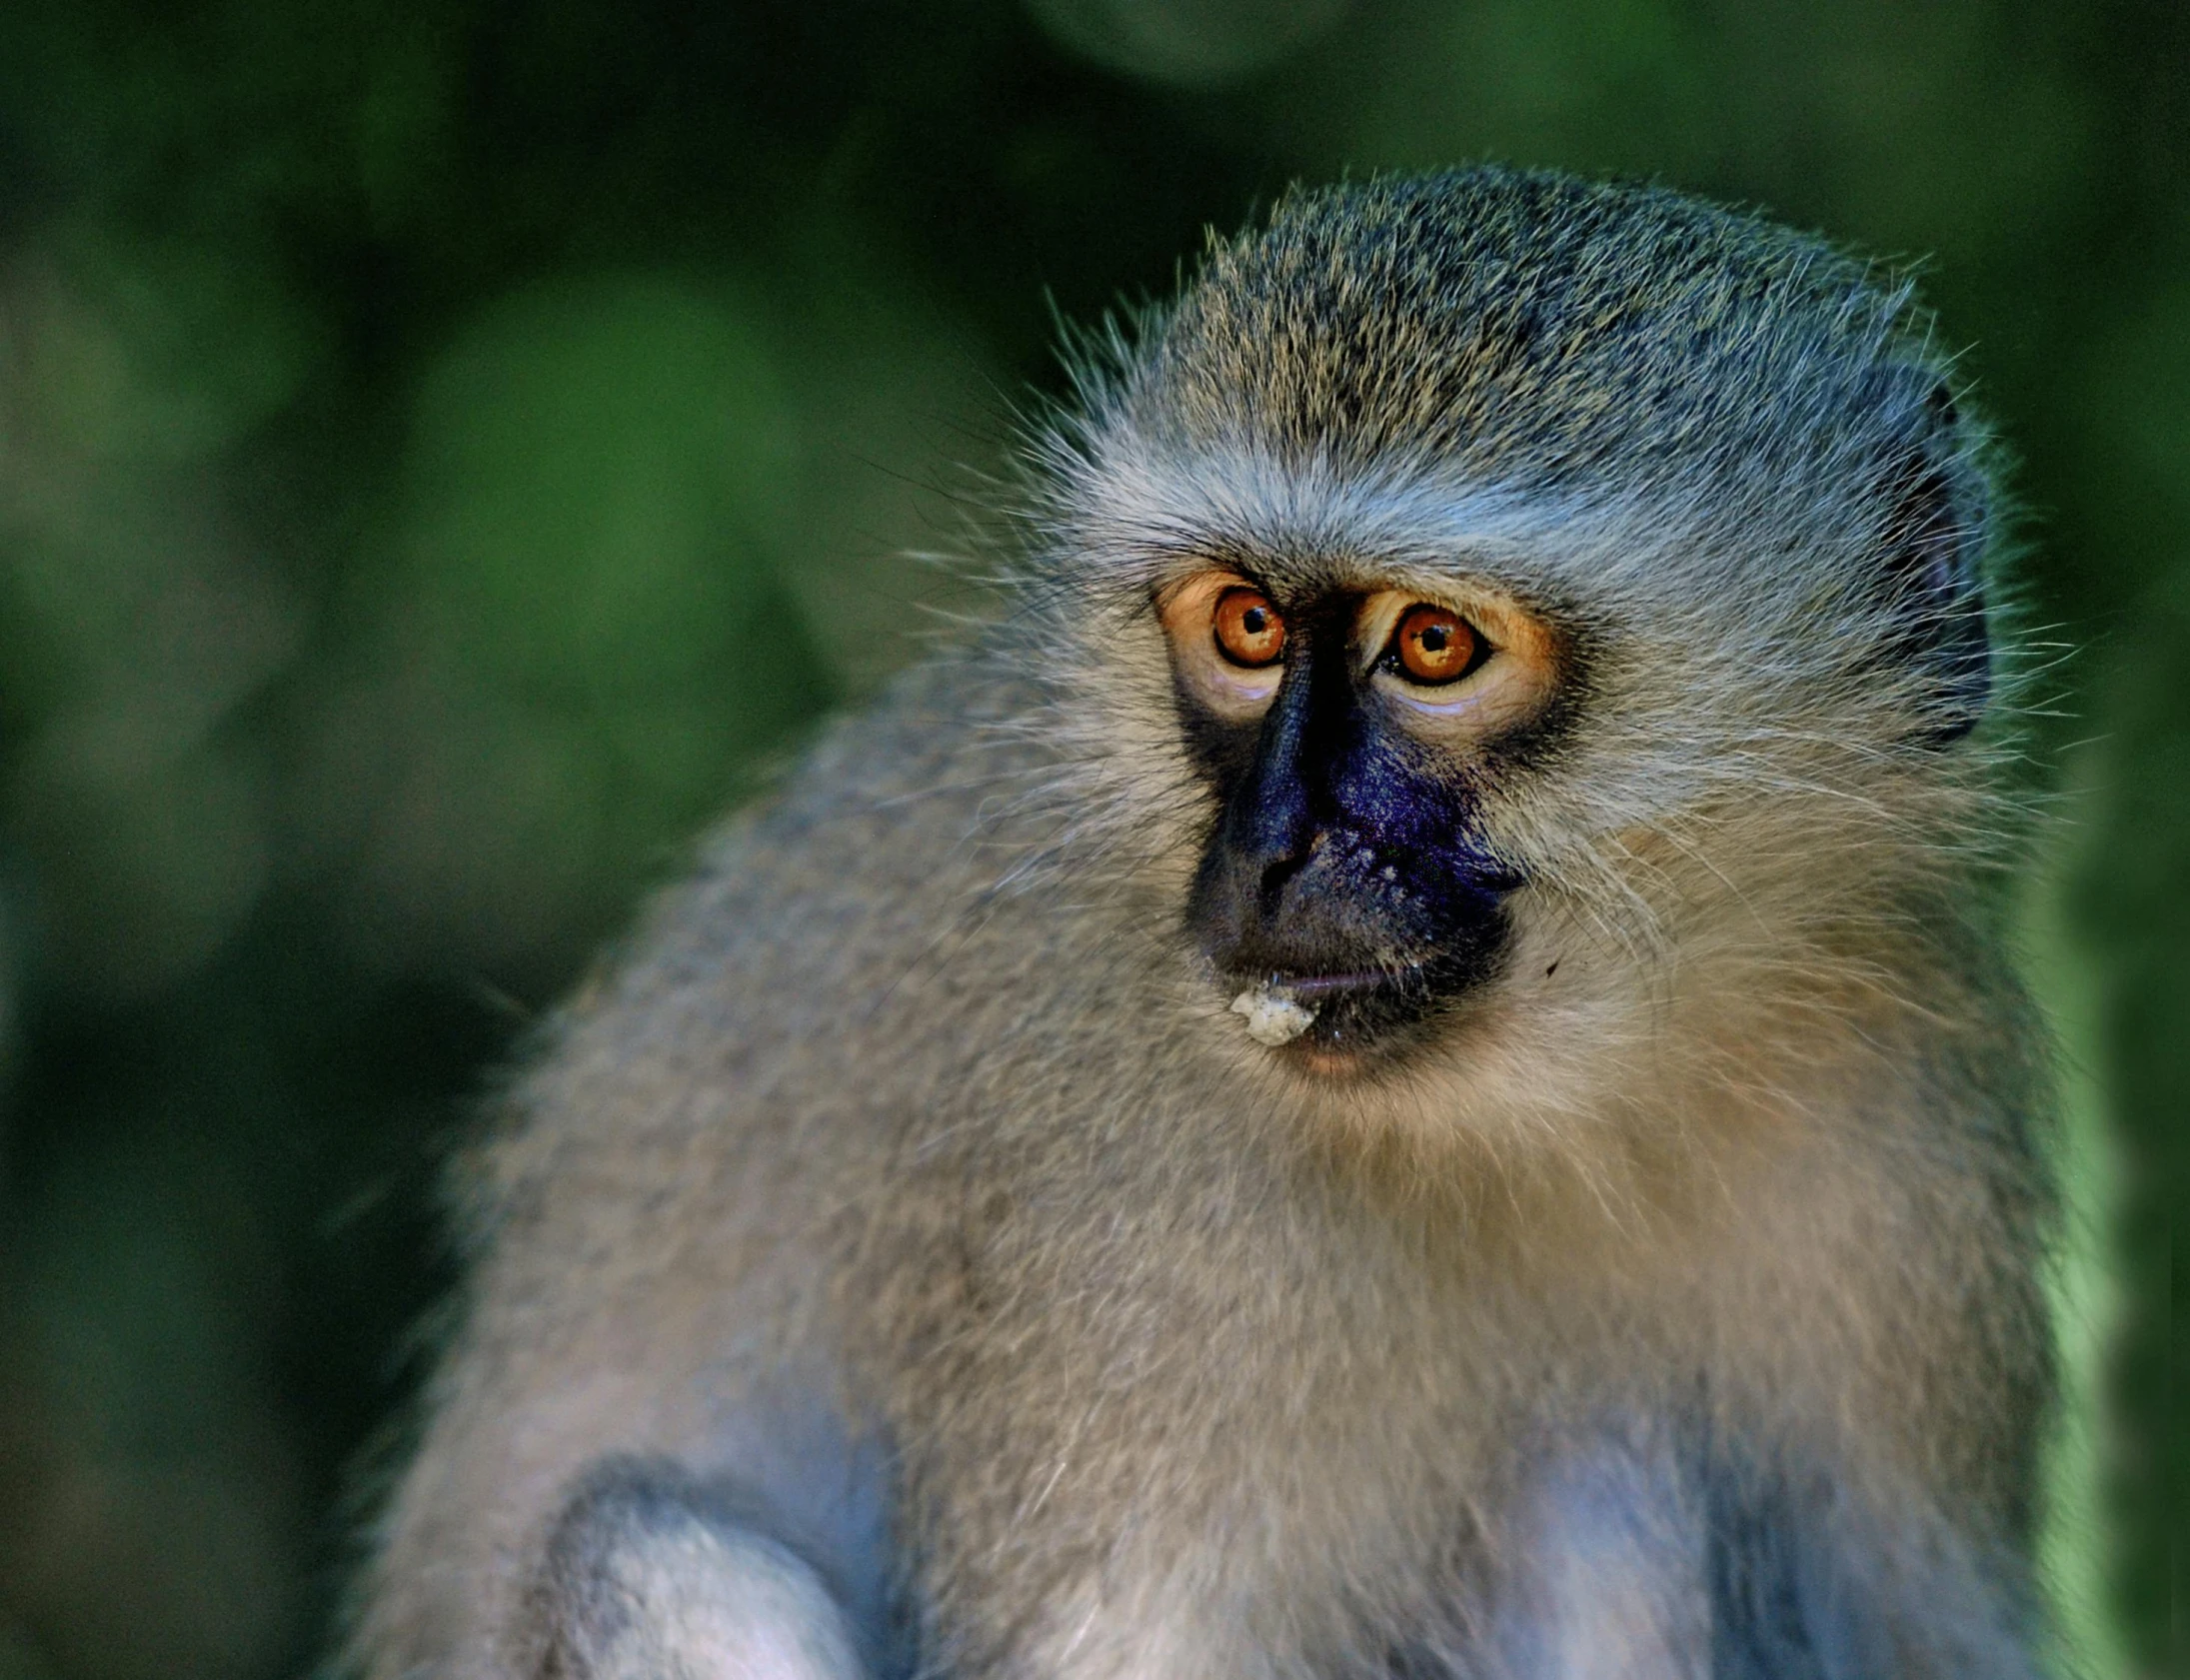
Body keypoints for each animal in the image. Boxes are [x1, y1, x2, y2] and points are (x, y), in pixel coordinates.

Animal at [350, 174, 2058, 1680]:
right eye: (1241, 626)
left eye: (1430, 647)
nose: (1265, 851)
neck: (1550, 1108)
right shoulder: (1113, 1236)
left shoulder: (1901, 1135)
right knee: (645, 1541)